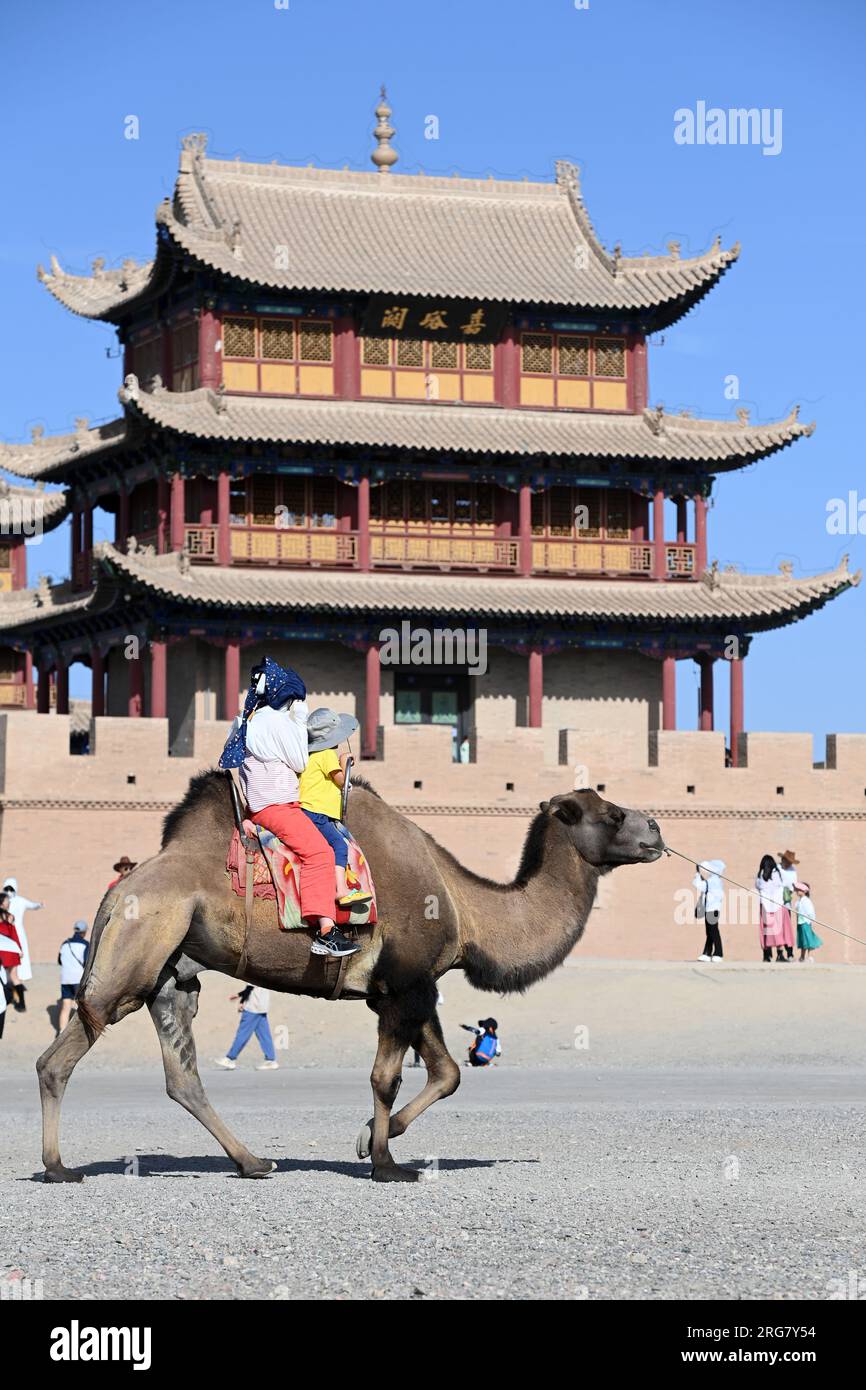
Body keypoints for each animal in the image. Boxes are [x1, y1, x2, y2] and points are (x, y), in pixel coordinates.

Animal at [35, 778, 664, 1178]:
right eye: (611, 815)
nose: (656, 829)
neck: (467, 908)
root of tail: (121, 888)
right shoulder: (405, 986)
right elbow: (387, 1078)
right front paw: (386, 1164)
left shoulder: (407, 989)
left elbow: (448, 1072)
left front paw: (368, 1140)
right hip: (132, 959)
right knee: (60, 1057)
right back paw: (59, 1169)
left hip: (171, 977)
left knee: (181, 1076)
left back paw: (253, 1163)